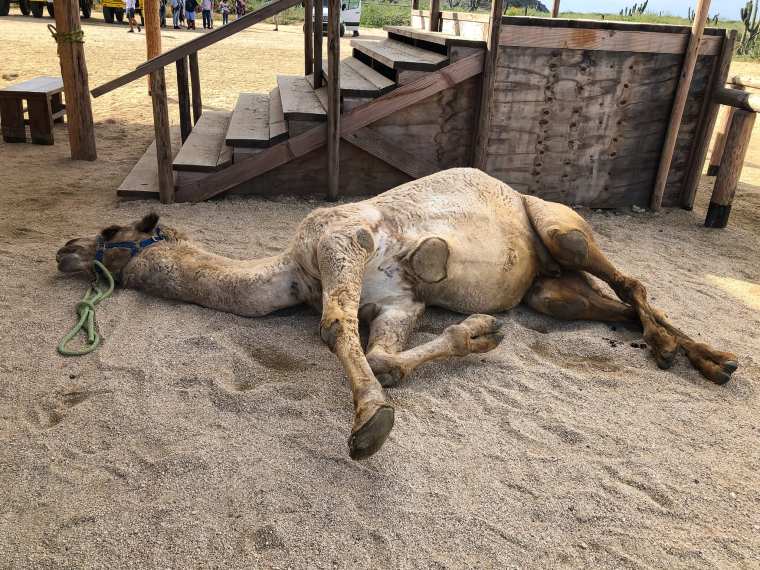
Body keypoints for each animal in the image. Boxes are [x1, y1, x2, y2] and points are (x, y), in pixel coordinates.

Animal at [56, 168, 738, 460]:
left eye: (110, 232)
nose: (63, 249)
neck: (292, 270)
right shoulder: (398, 302)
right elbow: (383, 355)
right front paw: (481, 330)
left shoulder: (344, 240)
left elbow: (334, 327)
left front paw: (370, 426)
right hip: (550, 290)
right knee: (609, 303)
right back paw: (698, 357)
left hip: (560, 228)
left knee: (628, 278)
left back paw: (697, 355)